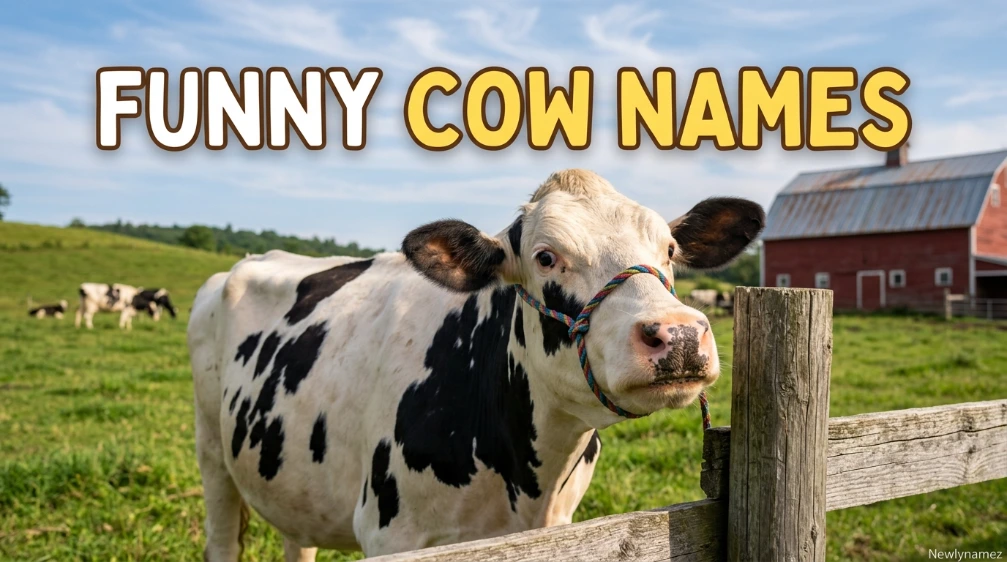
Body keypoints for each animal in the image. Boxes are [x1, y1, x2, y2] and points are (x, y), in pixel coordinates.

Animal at [188, 169, 765, 561]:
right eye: (545, 256)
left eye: (668, 249)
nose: (679, 334)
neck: (527, 479)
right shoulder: (389, 532)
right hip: (212, 453)